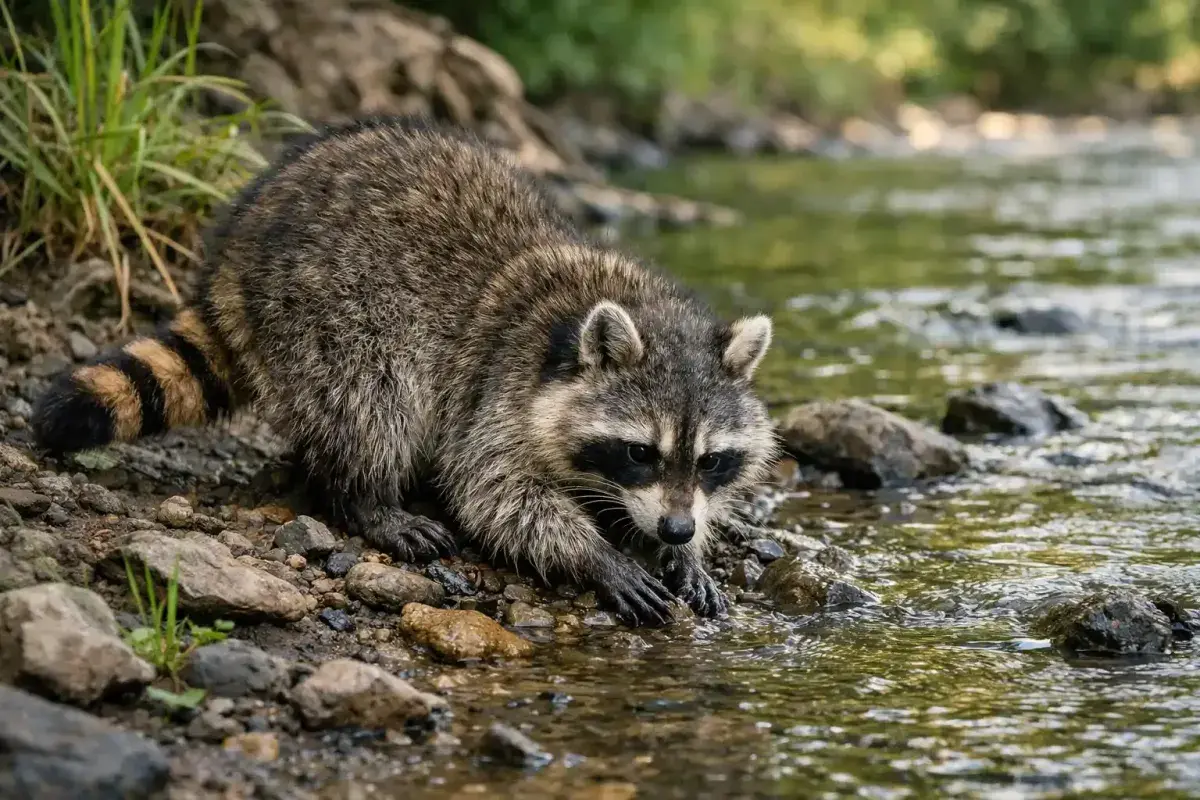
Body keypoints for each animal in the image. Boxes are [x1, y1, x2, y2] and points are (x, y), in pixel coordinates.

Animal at [31, 118, 778, 626]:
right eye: (639, 452)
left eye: (711, 461)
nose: (676, 530)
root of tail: (234, 251)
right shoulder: (498, 386)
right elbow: (495, 493)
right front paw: (596, 554)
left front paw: (689, 551)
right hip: (327, 308)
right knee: (372, 397)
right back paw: (369, 498)